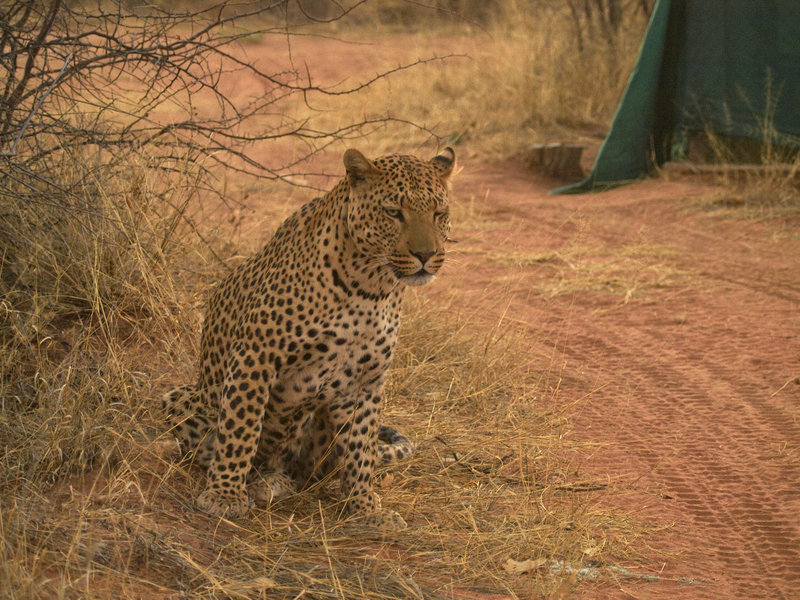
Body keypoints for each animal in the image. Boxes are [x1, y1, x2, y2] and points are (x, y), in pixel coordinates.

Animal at [162, 147, 456, 530]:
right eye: (394, 212)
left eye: (439, 214)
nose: (426, 255)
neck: (371, 288)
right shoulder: (255, 357)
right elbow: (240, 428)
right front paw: (224, 495)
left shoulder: (366, 380)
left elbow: (361, 448)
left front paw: (365, 509)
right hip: (177, 396)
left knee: (307, 473)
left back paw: (276, 483)